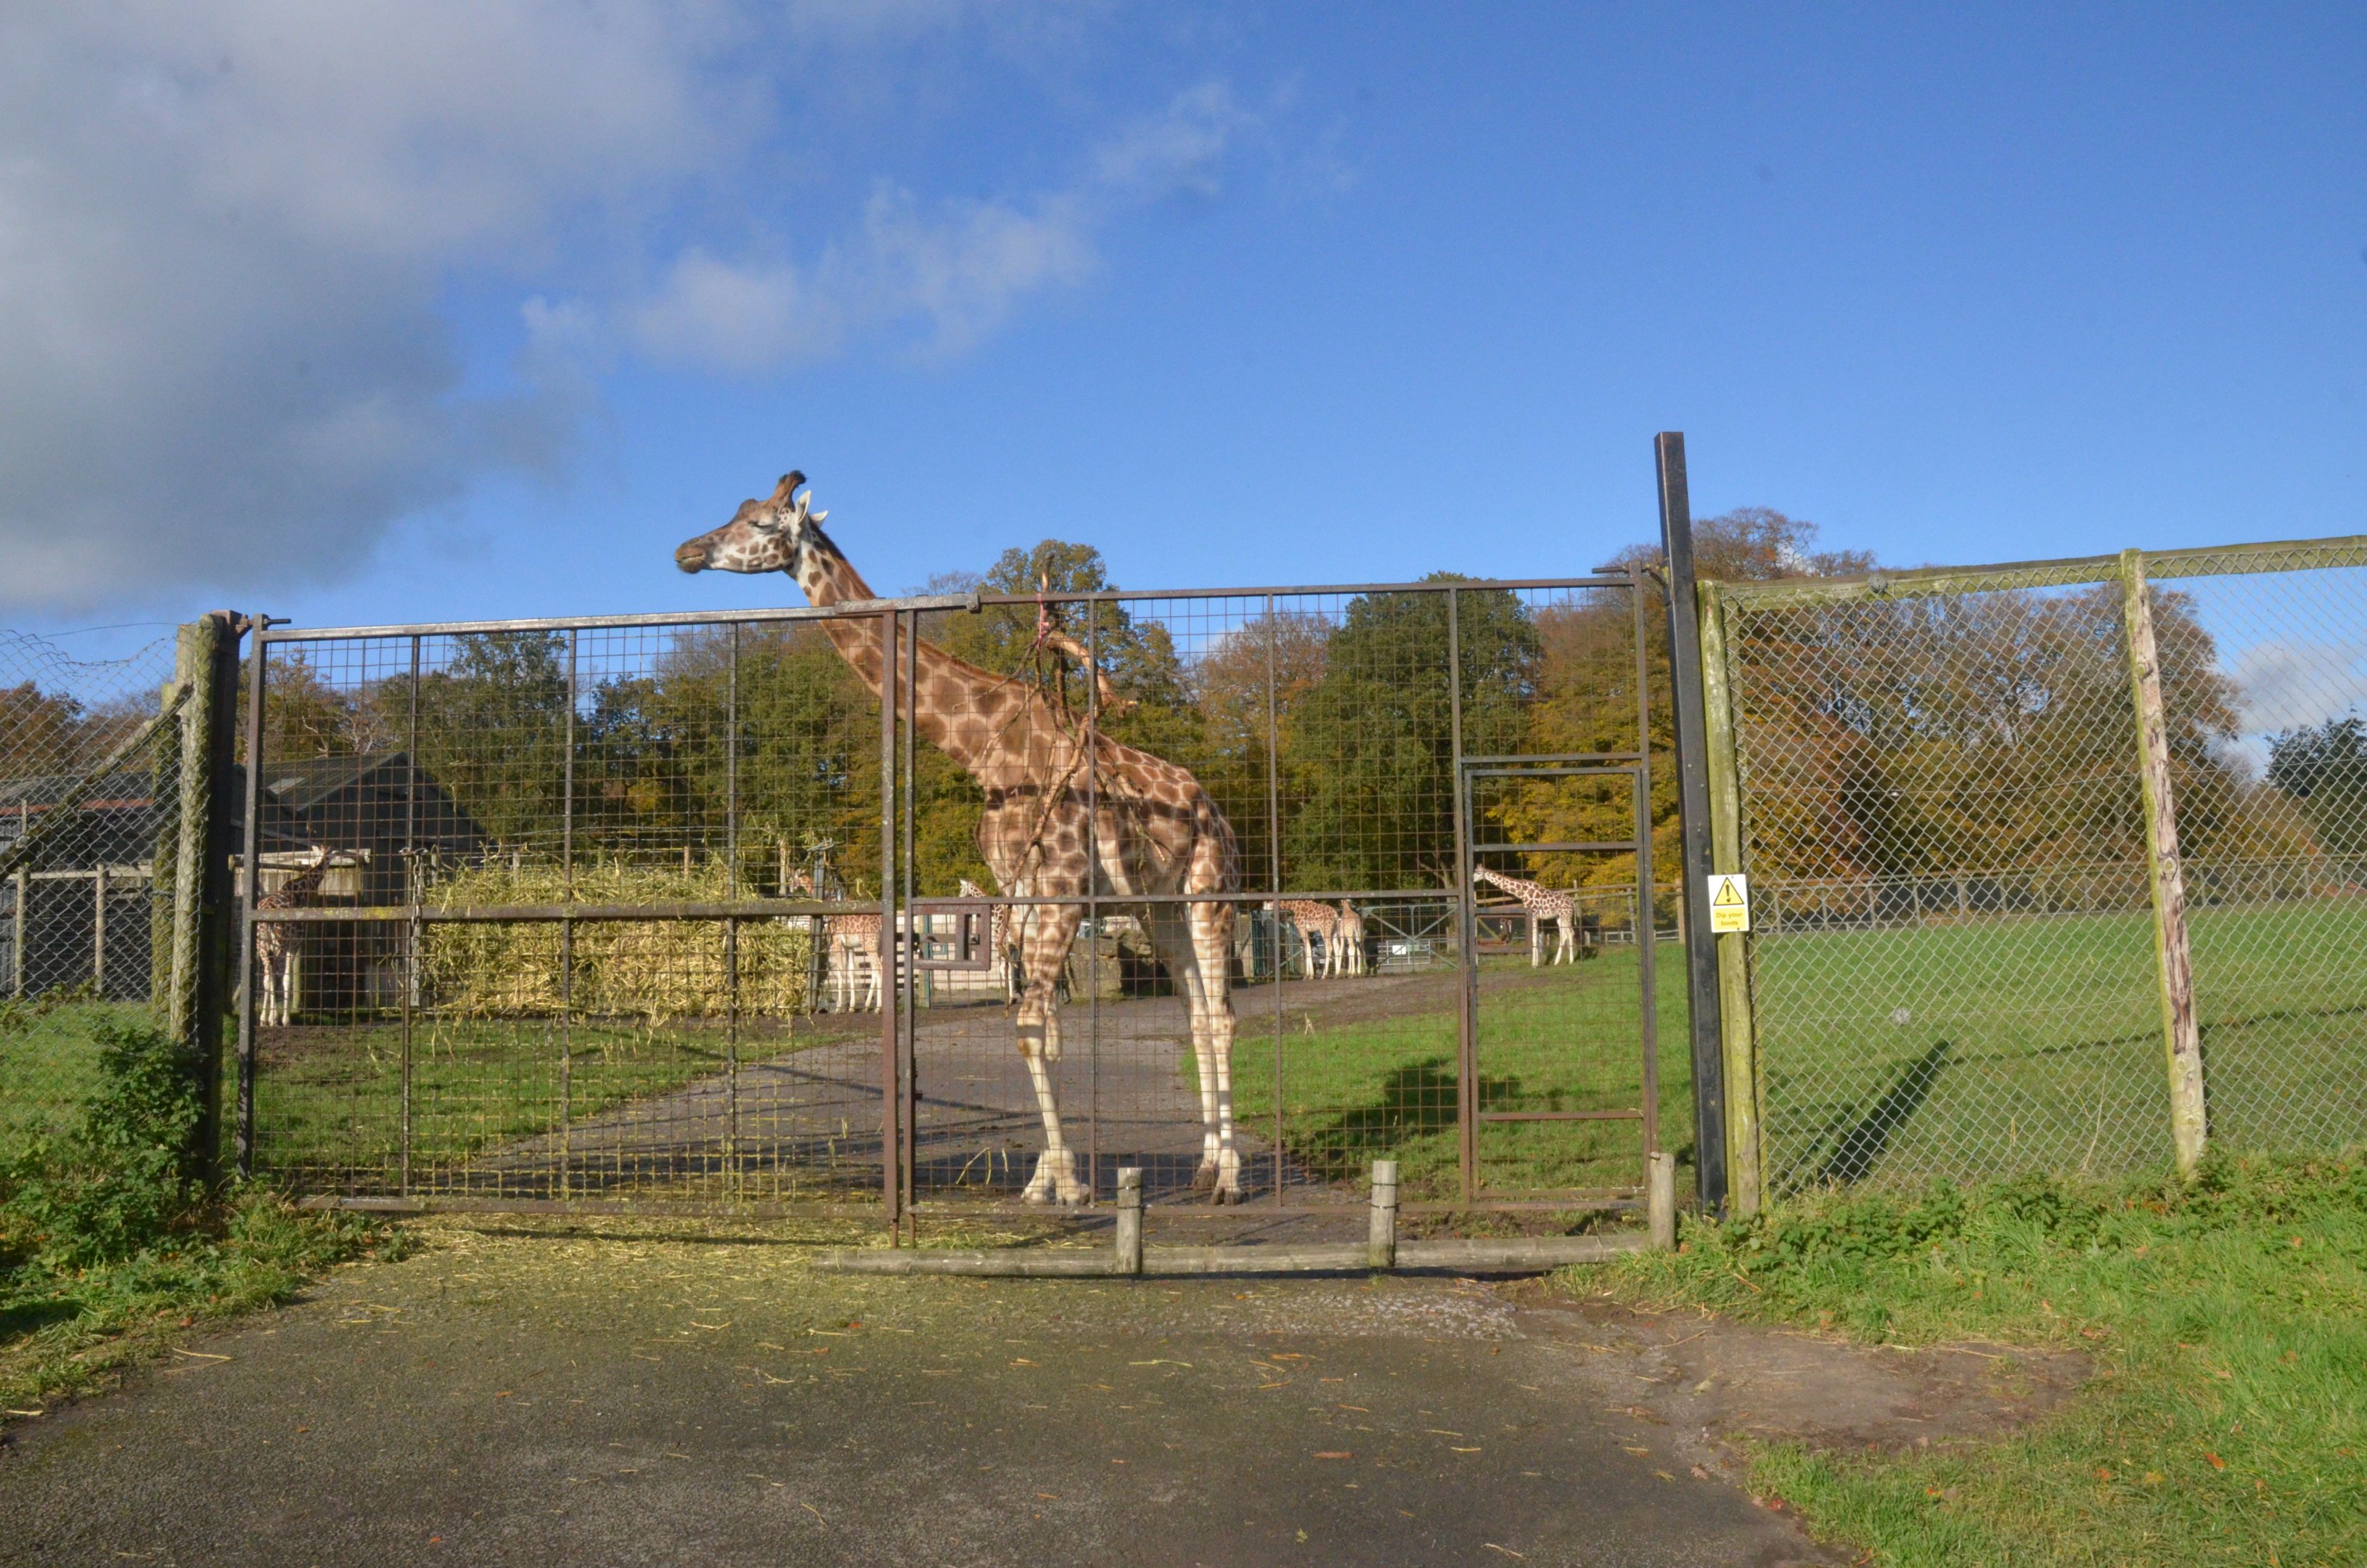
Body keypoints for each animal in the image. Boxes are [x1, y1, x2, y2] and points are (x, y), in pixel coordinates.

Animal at [677, 472, 1246, 1204]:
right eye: (739, 511)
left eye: (765, 524)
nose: (687, 552)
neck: (985, 752)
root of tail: (1217, 812)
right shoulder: (1021, 891)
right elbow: (1040, 1026)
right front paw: (1042, 1180)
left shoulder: (1063, 887)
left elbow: (1030, 1026)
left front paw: (1069, 1186)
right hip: (1159, 907)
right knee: (1196, 1017)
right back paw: (1205, 1166)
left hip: (1210, 891)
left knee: (1223, 1017)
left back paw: (1229, 1179)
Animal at [1471, 865, 1579, 966]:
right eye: (1475, 871)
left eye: (1478, 873)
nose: (1472, 879)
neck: (1522, 892)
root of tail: (1573, 902)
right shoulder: (1534, 916)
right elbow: (1535, 938)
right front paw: (1536, 962)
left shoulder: (1534, 914)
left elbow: (1534, 939)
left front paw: (1534, 964)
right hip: (1559, 917)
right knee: (1564, 935)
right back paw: (1556, 962)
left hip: (1566, 915)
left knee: (1570, 933)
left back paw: (1571, 961)